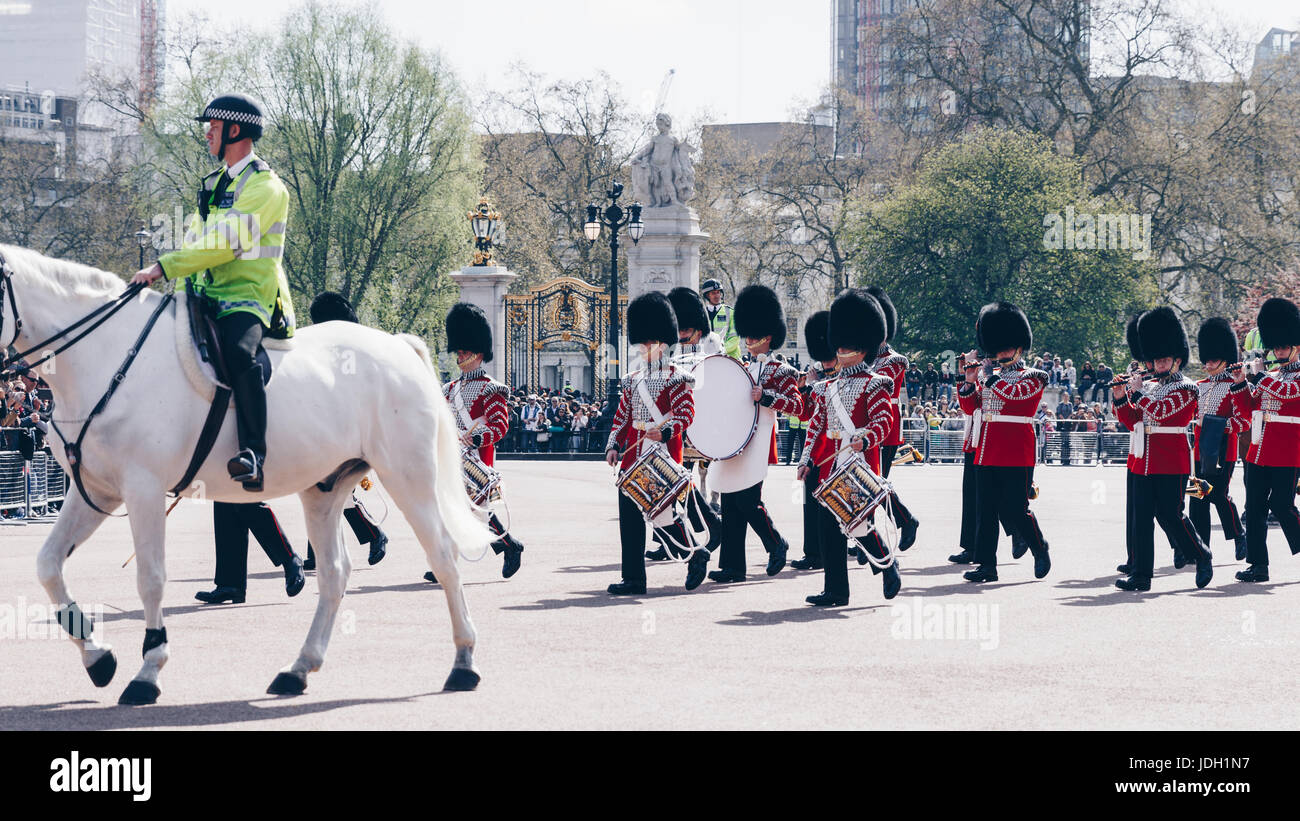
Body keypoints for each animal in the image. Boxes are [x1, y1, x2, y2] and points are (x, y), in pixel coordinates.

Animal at [2, 240, 488, 701]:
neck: (107, 356)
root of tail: (397, 345)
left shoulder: (143, 489)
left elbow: (151, 579)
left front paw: (147, 672)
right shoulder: (98, 491)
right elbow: (48, 565)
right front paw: (98, 658)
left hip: (408, 476)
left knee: (443, 556)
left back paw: (464, 661)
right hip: (324, 488)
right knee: (334, 572)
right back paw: (299, 668)